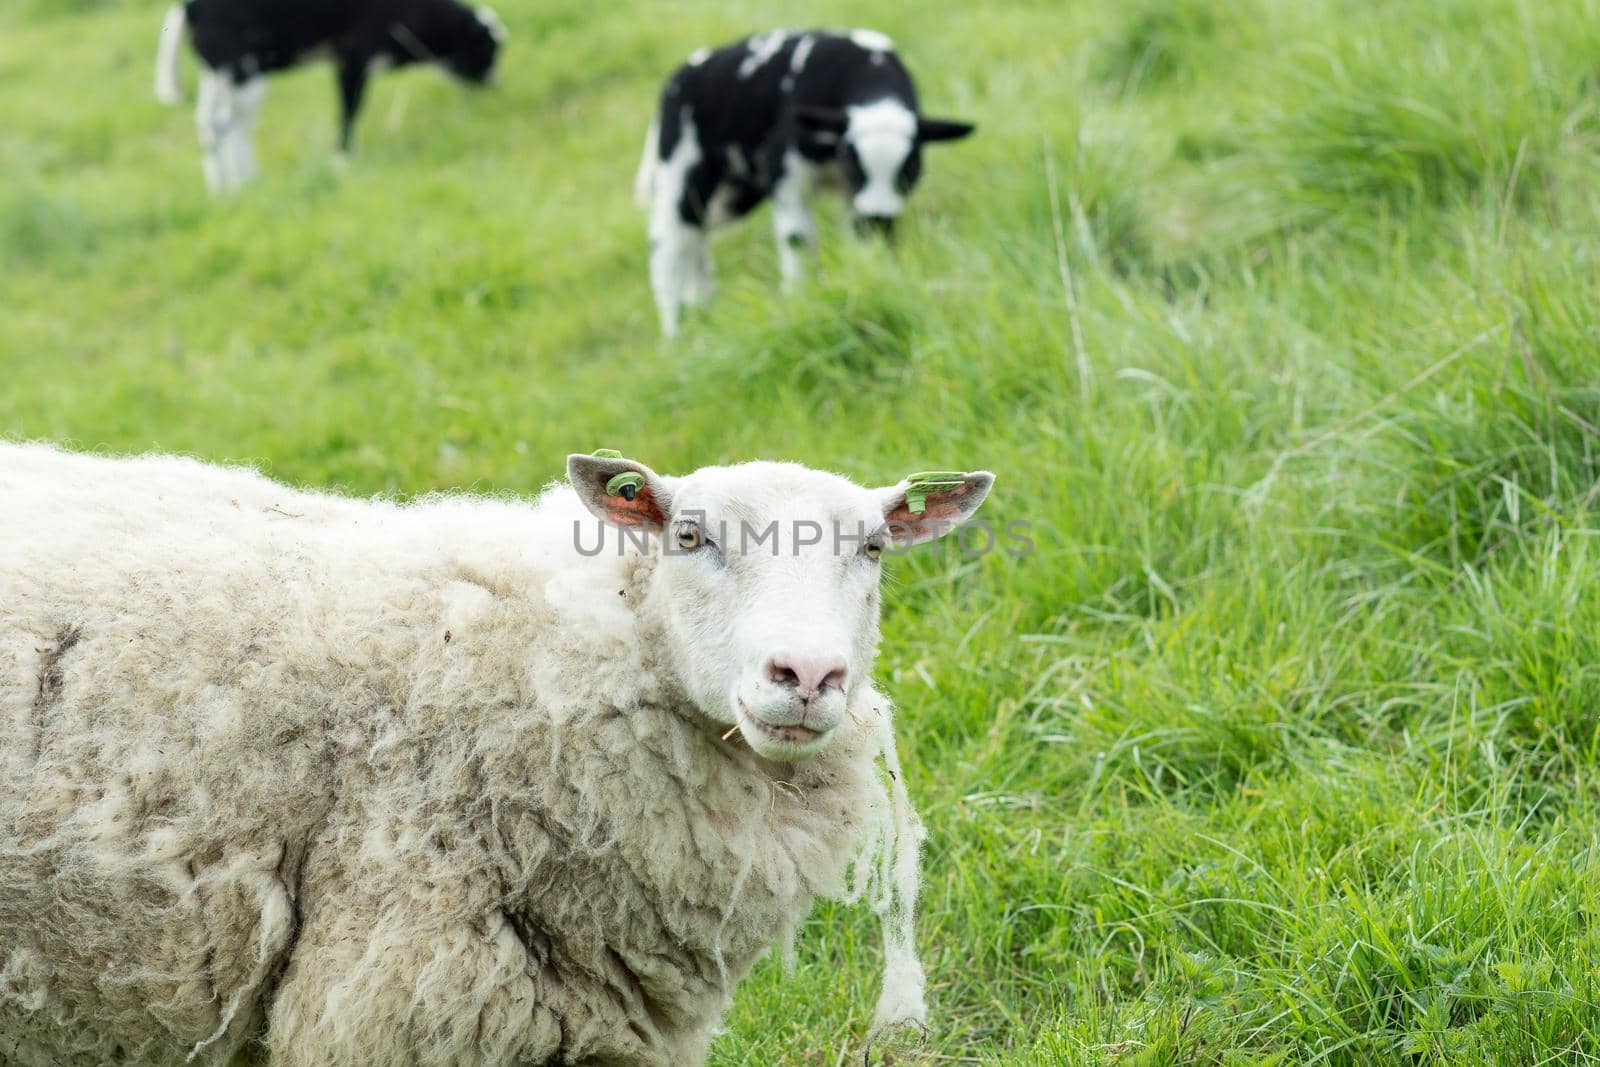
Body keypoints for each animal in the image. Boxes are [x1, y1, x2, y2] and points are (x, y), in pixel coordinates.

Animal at [154, 0, 505, 191]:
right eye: (486, 50)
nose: (494, 87)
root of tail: (190, 7)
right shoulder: (353, 56)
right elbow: (350, 108)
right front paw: (343, 157)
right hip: (243, 69)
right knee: (228, 124)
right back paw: (240, 184)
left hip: (218, 73)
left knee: (210, 123)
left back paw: (228, 186)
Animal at [636, 28, 972, 334]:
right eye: (853, 165)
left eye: (911, 167)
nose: (878, 219)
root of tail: (680, 75)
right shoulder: (786, 171)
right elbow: (796, 239)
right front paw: (797, 300)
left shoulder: (852, 198)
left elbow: (855, 237)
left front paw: (868, 273)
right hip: (682, 169)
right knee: (667, 240)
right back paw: (675, 334)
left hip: (734, 194)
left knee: (695, 237)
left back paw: (702, 304)